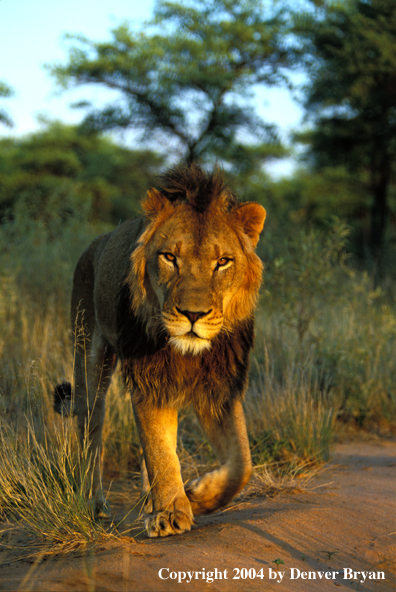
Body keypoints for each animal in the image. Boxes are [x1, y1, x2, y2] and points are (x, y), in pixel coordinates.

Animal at [54, 162, 266, 536]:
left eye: (223, 262)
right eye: (169, 257)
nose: (193, 315)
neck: (188, 353)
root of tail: (95, 243)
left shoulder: (220, 386)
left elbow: (242, 462)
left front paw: (198, 496)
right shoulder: (149, 380)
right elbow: (158, 449)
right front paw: (170, 512)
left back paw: (148, 497)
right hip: (89, 357)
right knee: (90, 428)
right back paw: (94, 504)